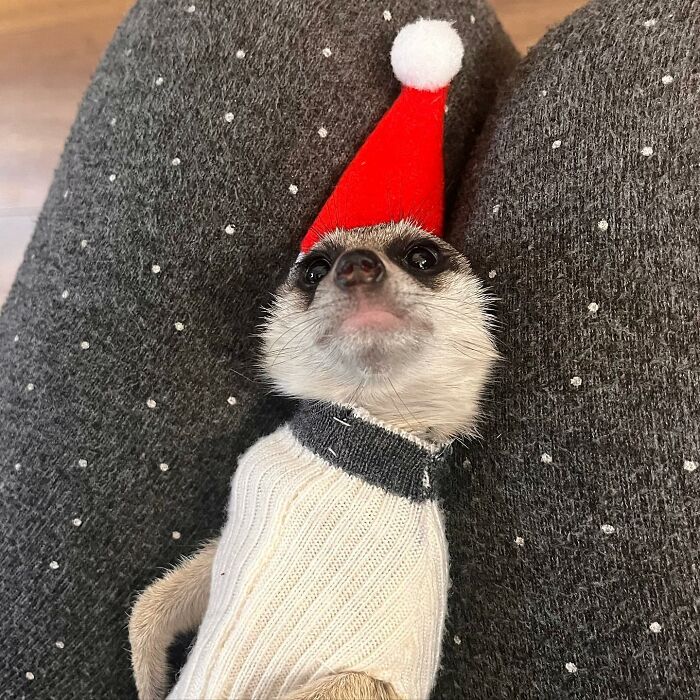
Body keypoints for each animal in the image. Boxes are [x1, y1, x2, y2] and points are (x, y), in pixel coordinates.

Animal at [129, 220, 494, 700]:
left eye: (423, 257)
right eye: (315, 269)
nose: (357, 265)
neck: (346, 452)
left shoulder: (379, 678)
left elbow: (357, 684)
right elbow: (156, 599)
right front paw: (148, 679)